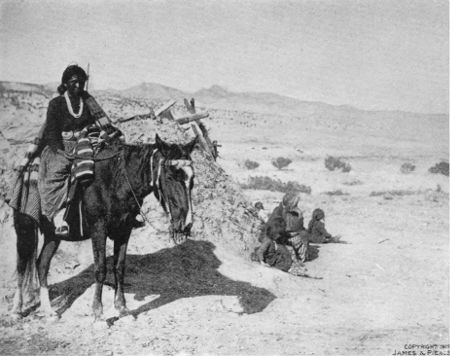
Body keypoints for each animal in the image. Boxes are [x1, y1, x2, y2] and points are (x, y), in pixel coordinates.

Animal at [10, 134, 196, 320]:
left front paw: (122, 308)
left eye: (192, 179)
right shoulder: (98, 229)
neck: (116, 181)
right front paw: (98, 312)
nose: (186, 224)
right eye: (170, 176)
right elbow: (100, 268)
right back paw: (17, 310)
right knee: (21, 266)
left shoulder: (124, 230)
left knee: (42, 264)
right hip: (25, 228)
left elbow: (119, 267)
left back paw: (48, 311)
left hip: (53, 235)